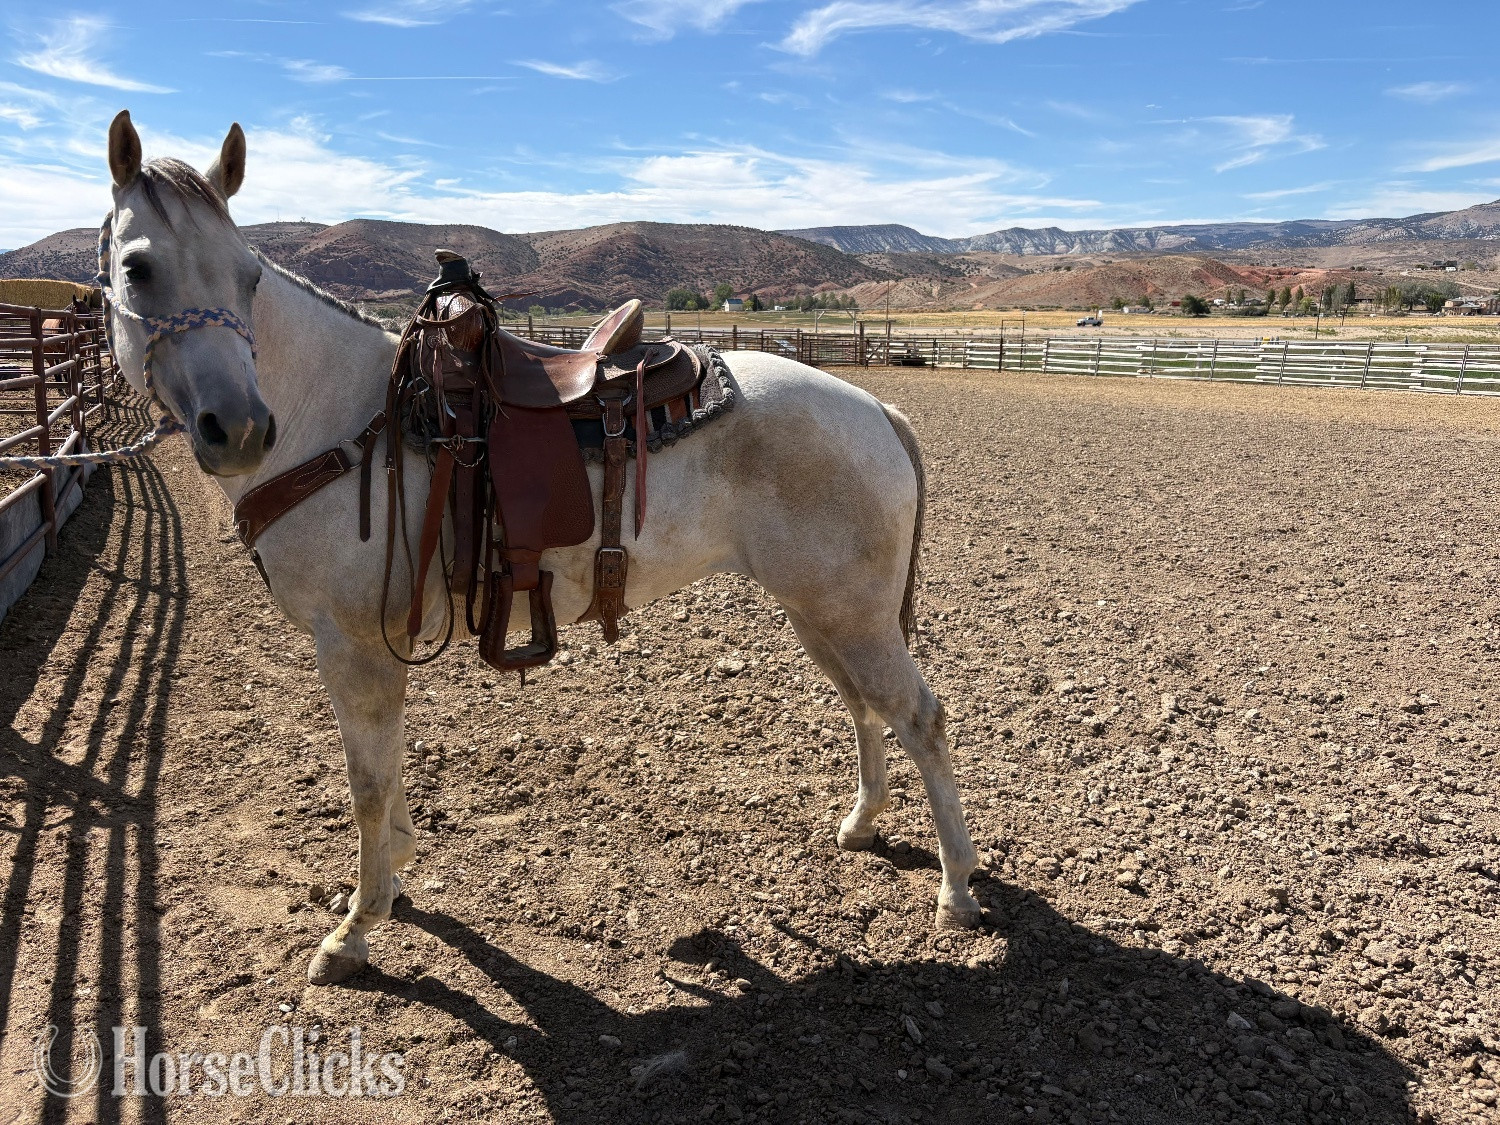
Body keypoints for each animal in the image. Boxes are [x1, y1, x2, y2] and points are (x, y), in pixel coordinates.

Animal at [98, 110, 981, 985]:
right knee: (867, 707)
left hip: (854, 616)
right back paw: (862, 823)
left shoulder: (353, 644)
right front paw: (397, 873)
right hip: (821, 613)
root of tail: (875, 407)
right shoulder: (377, 646)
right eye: (137, 269)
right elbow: (389, 767)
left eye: (248, 275)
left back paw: (958, 891)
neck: (345, 417)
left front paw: (355, 927)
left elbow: (367, 782)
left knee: (922, 718)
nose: (240, 428)